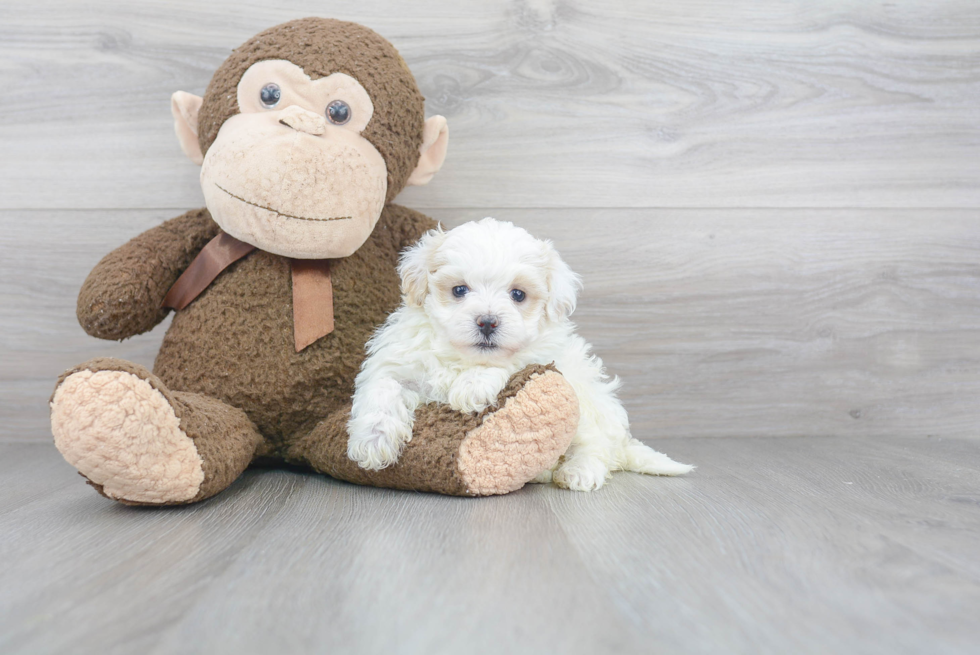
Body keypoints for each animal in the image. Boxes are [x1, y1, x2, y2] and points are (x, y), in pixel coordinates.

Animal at [348, 218, 692, 490]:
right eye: (459, 290)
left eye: (517, 294)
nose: (487, 321)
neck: (462, 357)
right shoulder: (398, 360)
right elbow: (383, 386)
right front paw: (372, 441)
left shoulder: (545, 354)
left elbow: (512, 358)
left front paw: (472, 385)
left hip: (587, 401)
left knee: (595, 446)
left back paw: (579, 472)